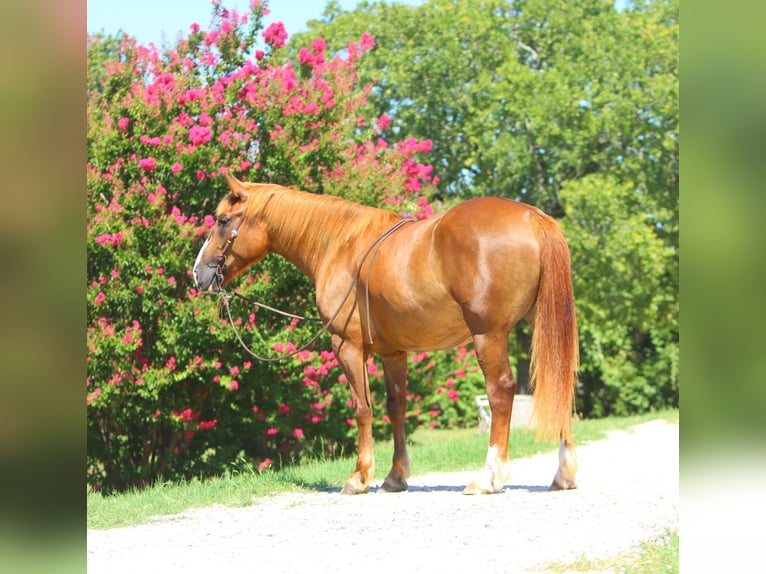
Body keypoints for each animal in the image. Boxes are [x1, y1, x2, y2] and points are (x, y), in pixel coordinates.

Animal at [194, 176, 584, 496]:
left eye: (223, 221)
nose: (198, 273)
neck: (339, 244)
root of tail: (532, 217)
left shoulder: (347, 346)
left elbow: (362, 407)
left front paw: (359, 477)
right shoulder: (393, 353)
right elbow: (396, 408)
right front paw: (396, 477)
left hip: (488, 335)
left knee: (501, 390)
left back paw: (488, 478)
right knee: (559, 381)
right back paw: (563, 474)